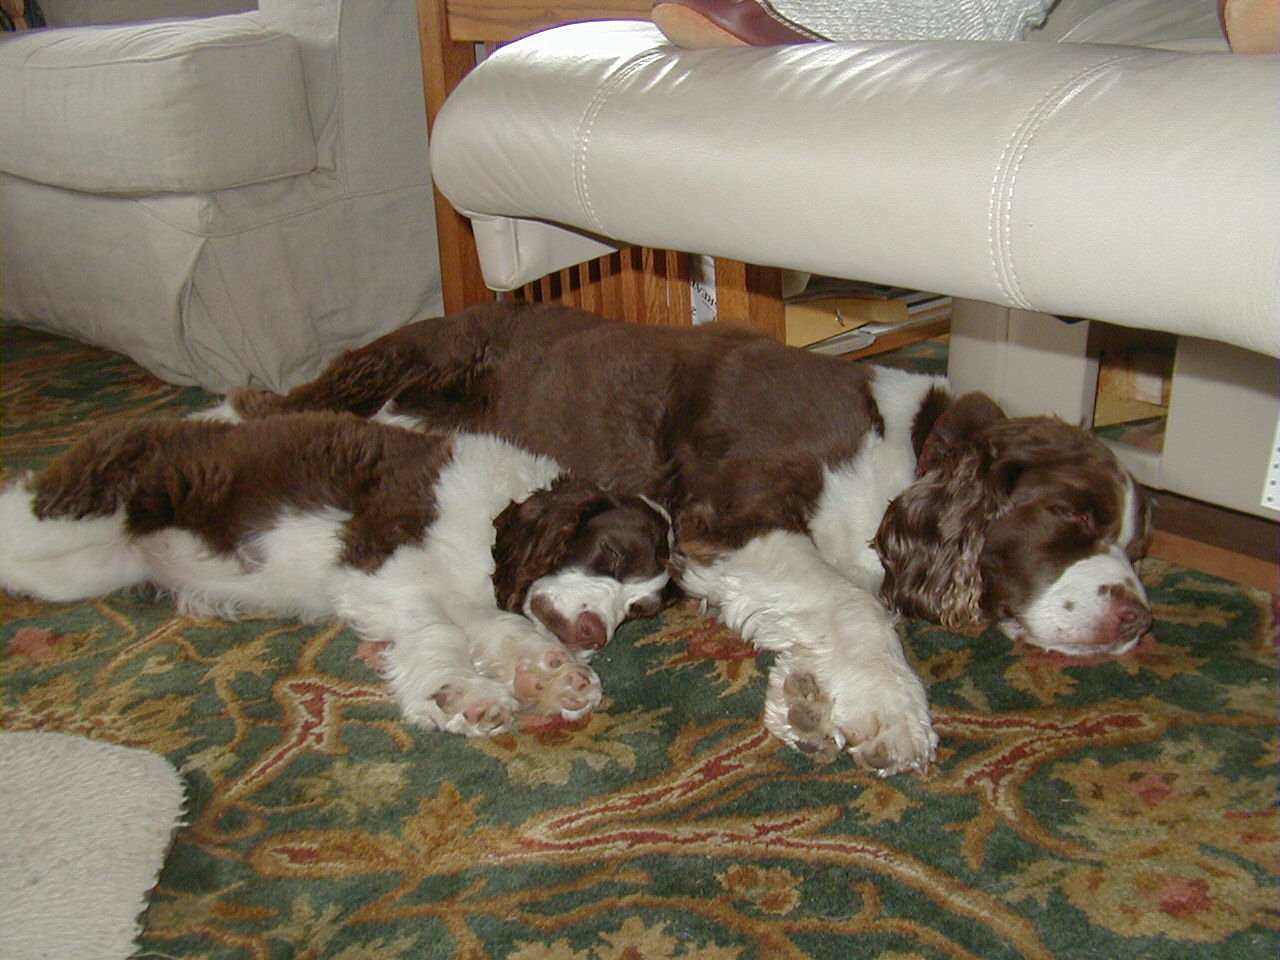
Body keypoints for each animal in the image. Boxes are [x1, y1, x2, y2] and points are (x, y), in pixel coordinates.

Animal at [0, 412, 675, 737]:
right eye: (611, 555)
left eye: (637, 612)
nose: (593, 633)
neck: (487, 515)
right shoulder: (378, 564)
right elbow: (439, 631)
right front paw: (463, 695)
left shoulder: (466, 593)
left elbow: (501, 628)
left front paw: (549, 677)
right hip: (64, 520)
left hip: (81, 568)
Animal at [215, 304, 1157, 778]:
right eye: (1074, 518)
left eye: (1137, 548)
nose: (1138, 620)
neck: (902, 453)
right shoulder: (731, 520)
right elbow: (857, 607)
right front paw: (892, 711)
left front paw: (808, 703)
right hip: (404, 359)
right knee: (285, 402)